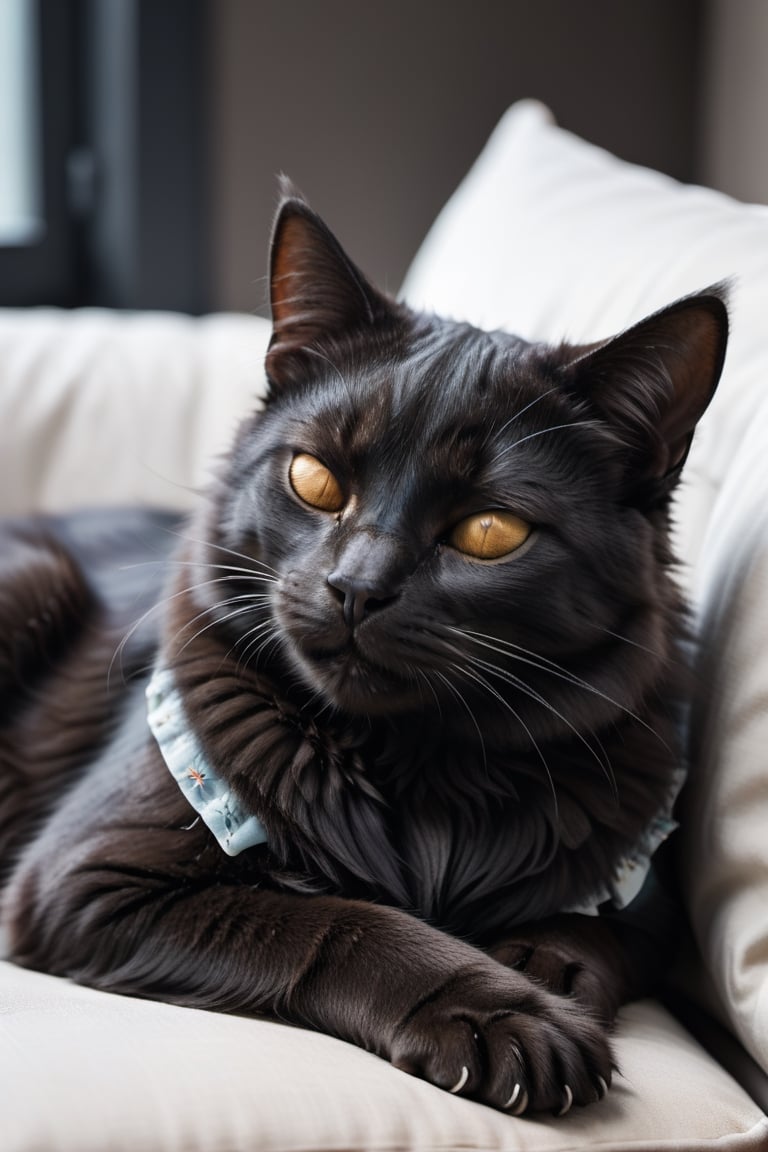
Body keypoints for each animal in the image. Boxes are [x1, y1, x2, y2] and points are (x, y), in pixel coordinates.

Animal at [0, 186, 727, 1115]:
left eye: (491, 531)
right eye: (314, 480)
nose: (355, 588)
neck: (418, 765)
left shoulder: (648, 890)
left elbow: (602, 934)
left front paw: (540, 969)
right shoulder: (88, 877)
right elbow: (338, 919)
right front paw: (499, 1012)